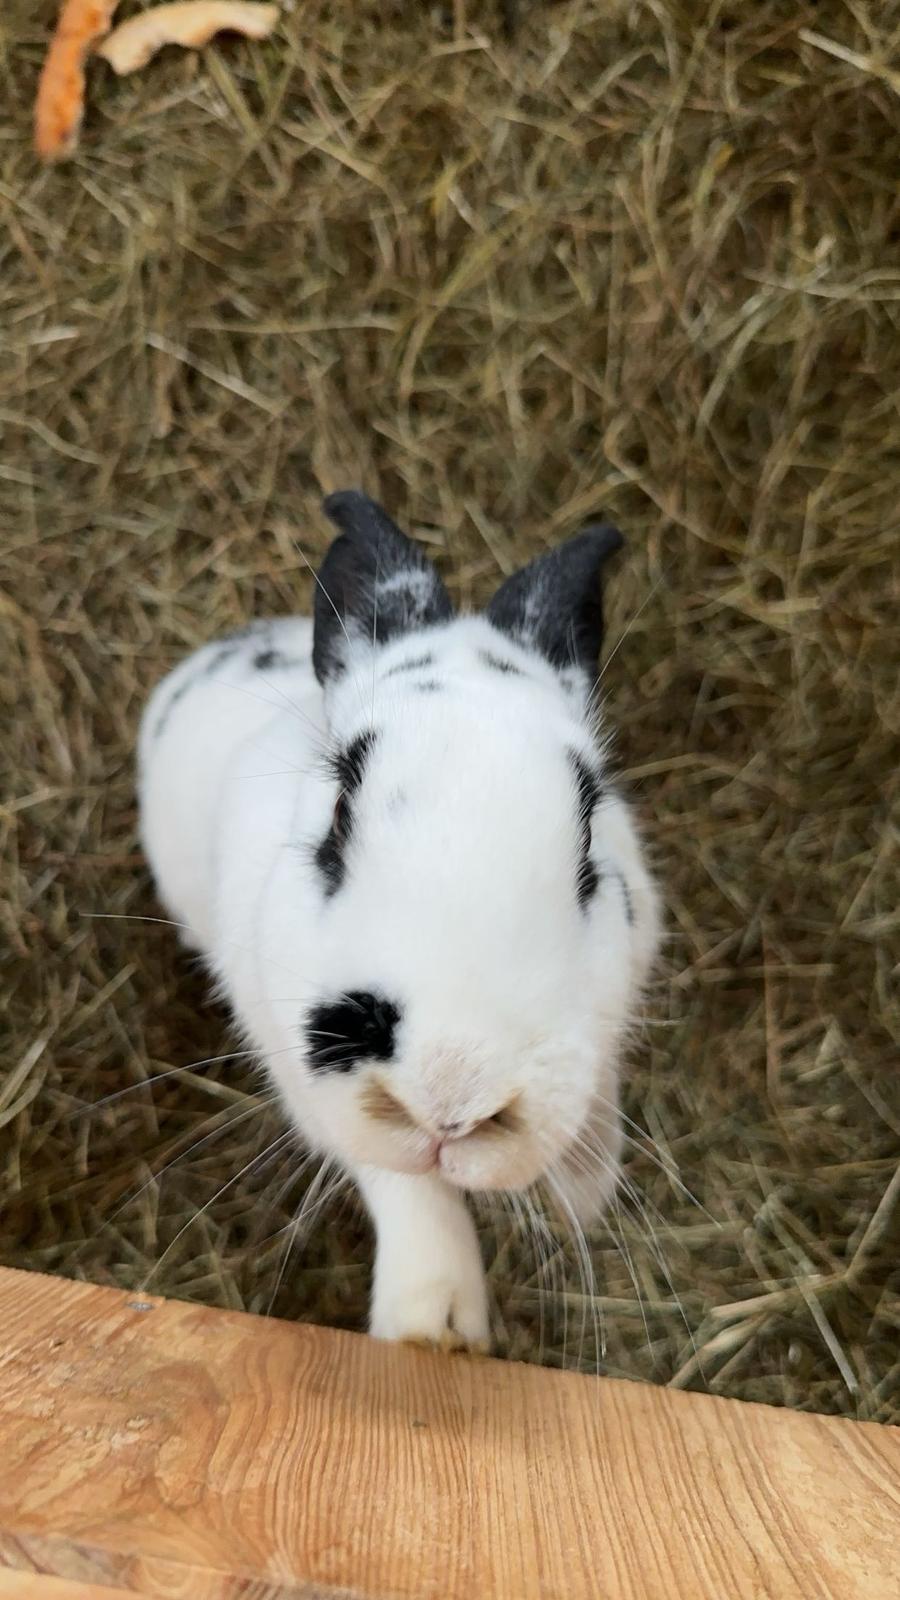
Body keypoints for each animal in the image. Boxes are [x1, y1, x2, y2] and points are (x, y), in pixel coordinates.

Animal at [137, 490, 660, 1350]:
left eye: (589, 834)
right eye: (338, 814)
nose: (451, 1093)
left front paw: (584, 1195)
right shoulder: (305, 1079)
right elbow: (402, 1186)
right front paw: (433, 1328)